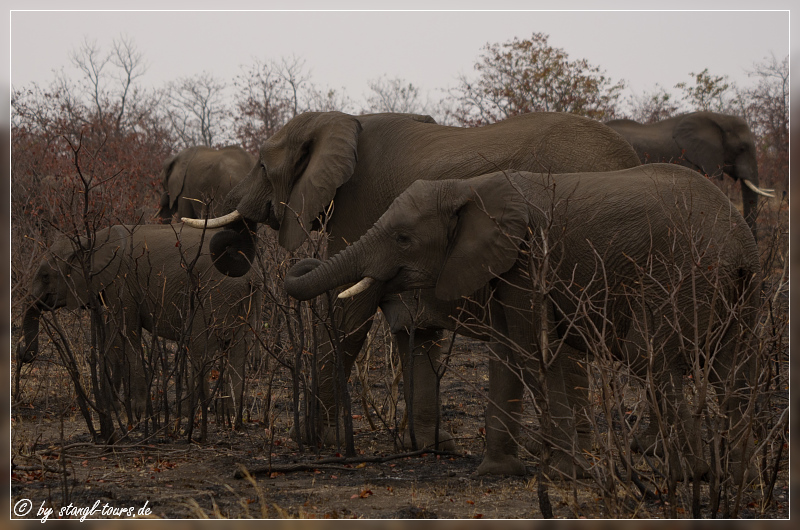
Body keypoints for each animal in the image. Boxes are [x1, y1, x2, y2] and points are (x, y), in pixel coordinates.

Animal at [18, 221, 260, 436]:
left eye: (46, 276)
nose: (24, 353)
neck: (90, 241)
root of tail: (250, 276)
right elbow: (114, 341)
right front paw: (112, 407)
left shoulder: (121, 283)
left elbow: (128, 335)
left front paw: (137, 414)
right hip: (242, 301)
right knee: (239, 350)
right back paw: (233, 419)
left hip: (212, 294)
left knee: (200, 349)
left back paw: (187, 417)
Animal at [184, 109, 640, 452]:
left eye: (262, 166)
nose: (236, 239)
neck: (344, 120)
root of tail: (627, 160)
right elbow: (413, 330)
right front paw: (428, 447)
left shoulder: (360, 205)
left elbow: (347, 316)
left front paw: (317, 441)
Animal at [284, 165, 760, 482]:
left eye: (403, 239)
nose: (304, 259)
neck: (470, 187)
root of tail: (741, 242)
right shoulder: (500, 264)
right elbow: (507, 349)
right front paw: (499, 471)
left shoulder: (528, 258)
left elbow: (533, 347)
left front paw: (564, 475)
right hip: (741, 289)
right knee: (734, 369)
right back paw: (739, 479)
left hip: (686, 275)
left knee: (651, 355)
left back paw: (688, 476)